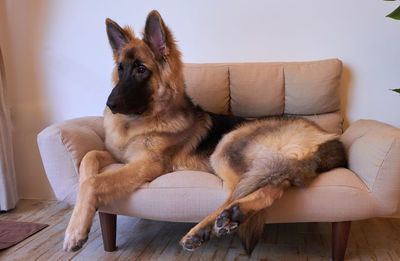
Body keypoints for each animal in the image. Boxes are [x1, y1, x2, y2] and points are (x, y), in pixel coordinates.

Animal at [62, 10, 346, 254]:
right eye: (120, 69)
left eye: (141, 69)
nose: (110, 104)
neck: (141, 121)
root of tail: (328, 138)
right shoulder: (120, 157)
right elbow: (88, 159)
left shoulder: (148, 164)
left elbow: (95, 182)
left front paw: (74, 233)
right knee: (276, 185)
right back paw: (233, 216)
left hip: (226, 147)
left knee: (239, 193)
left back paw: (207, 227)